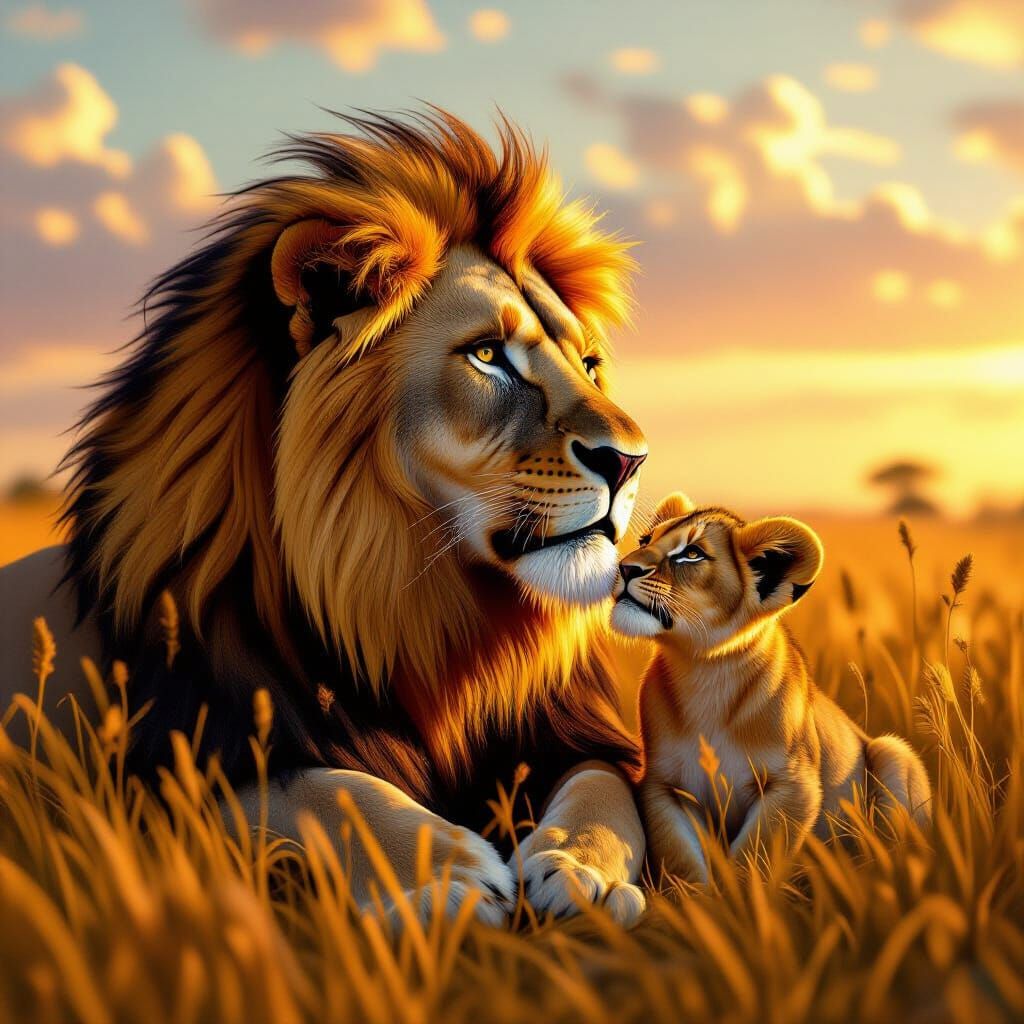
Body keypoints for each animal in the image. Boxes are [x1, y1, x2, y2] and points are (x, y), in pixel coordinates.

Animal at [0, 111, 650, 925]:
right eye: (487, 355)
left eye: (588, 364)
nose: (630, 462)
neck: (414, 604)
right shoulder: (170, 763)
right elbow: (325, 790)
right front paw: (442, 874)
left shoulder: (573, 732)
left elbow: (606, 789)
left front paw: (579, 867)